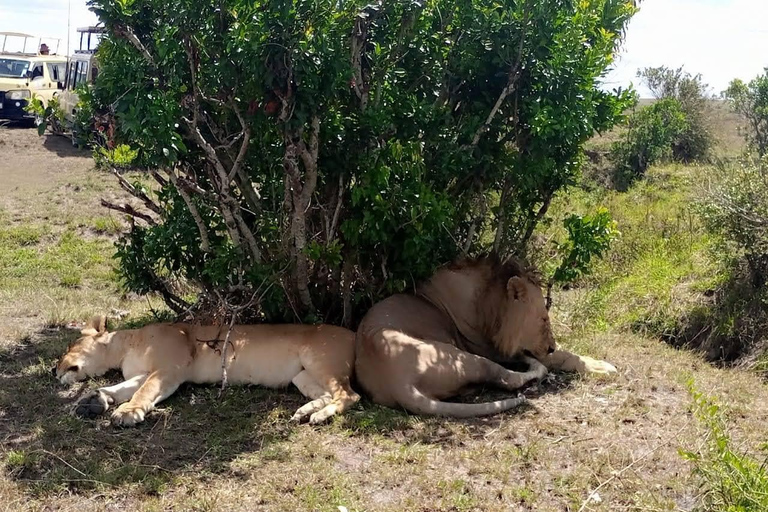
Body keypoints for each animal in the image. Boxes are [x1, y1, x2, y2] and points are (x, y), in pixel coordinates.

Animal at [55, 318, 362, 426]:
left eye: (70, 345)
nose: (54, 369)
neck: (125, 346)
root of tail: (354, 333)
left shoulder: (169, 370)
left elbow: (142, 393)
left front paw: (127, 413)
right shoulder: (146, 372)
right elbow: (124, 388)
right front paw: (95, 401)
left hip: (319, 360)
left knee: (349, 395)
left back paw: (319, 416)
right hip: (302, 375)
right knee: (329, 394)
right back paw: (304, 411)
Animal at [356, 256, 616, 416]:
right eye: (544, 319)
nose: (550, 345)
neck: (488, 304)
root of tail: (399, 383)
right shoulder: (489, 348)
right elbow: (562, 356)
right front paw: (600, 367)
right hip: (463, 358)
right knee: (510, 378)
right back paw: (535, 368)